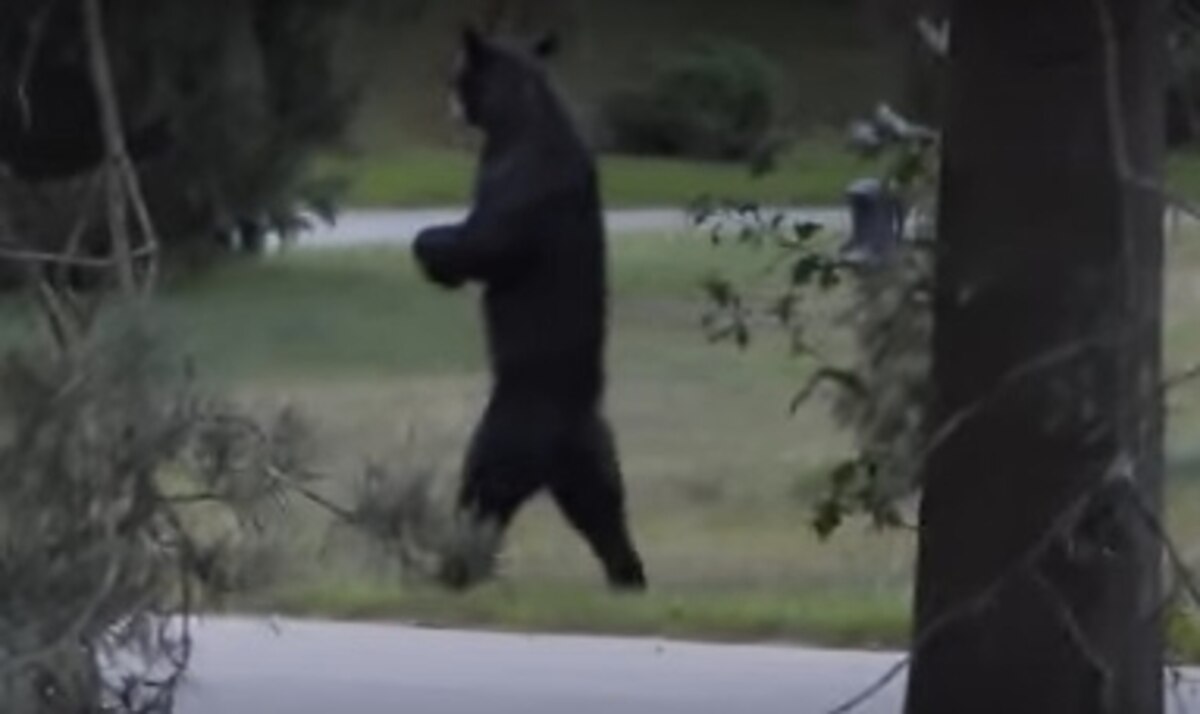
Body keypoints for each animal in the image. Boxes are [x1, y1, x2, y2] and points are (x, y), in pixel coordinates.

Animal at [411, 26, 646, 591]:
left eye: (458, 73)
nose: (449, 100)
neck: (524, 114)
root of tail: (563, 432)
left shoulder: (514, 180)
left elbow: (486, 241)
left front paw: (431, 248)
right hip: (593, 457)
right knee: (605, 510)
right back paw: (628, 578)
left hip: (505, 439)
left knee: (482, 496)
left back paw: (452, 569)